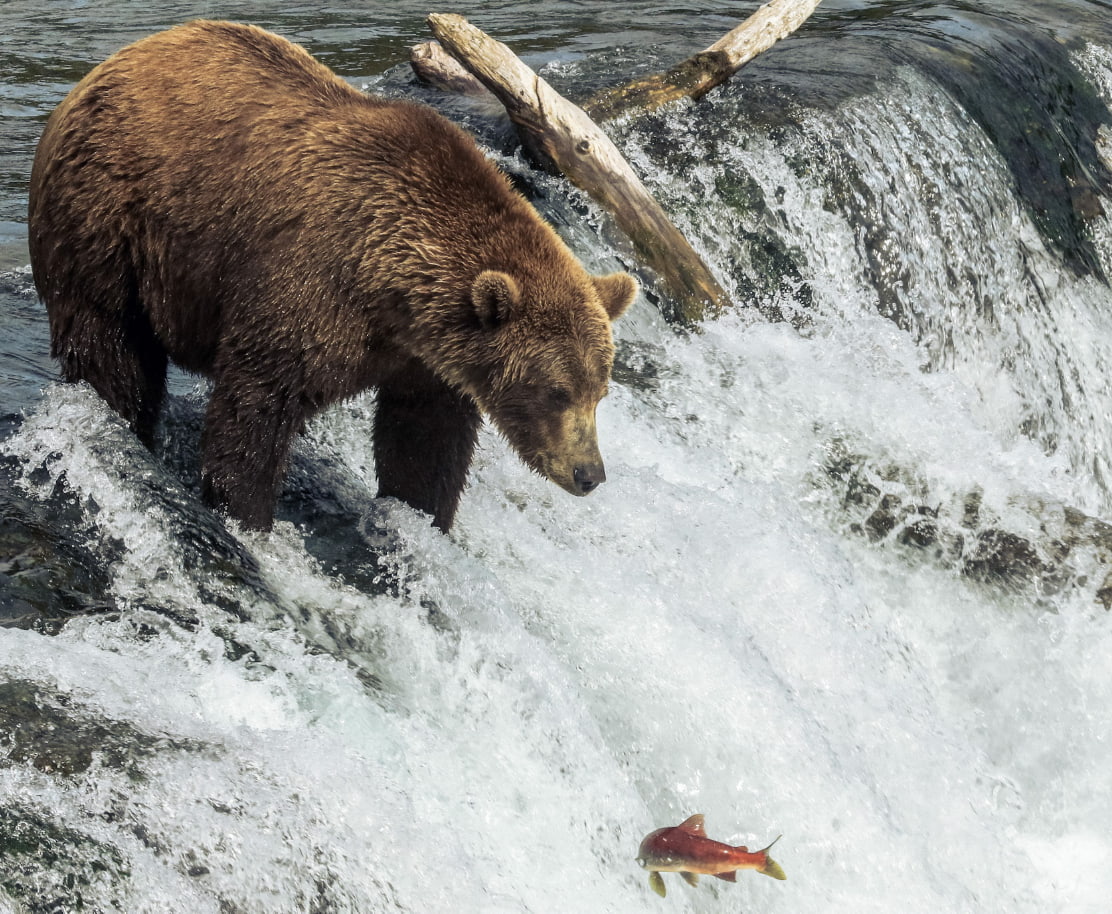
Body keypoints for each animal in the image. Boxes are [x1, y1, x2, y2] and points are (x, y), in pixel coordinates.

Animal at [28, 20, 636, 533]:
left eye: (600, 390)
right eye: (556, 391)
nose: (588, 473)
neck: (392, 293)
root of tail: (105, 66)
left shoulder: (427, 362)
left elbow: (425, 442)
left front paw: (422, 516)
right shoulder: (308, 288)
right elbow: (255, 411)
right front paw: (246, 514)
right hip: (106, 221)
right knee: (111, 346)